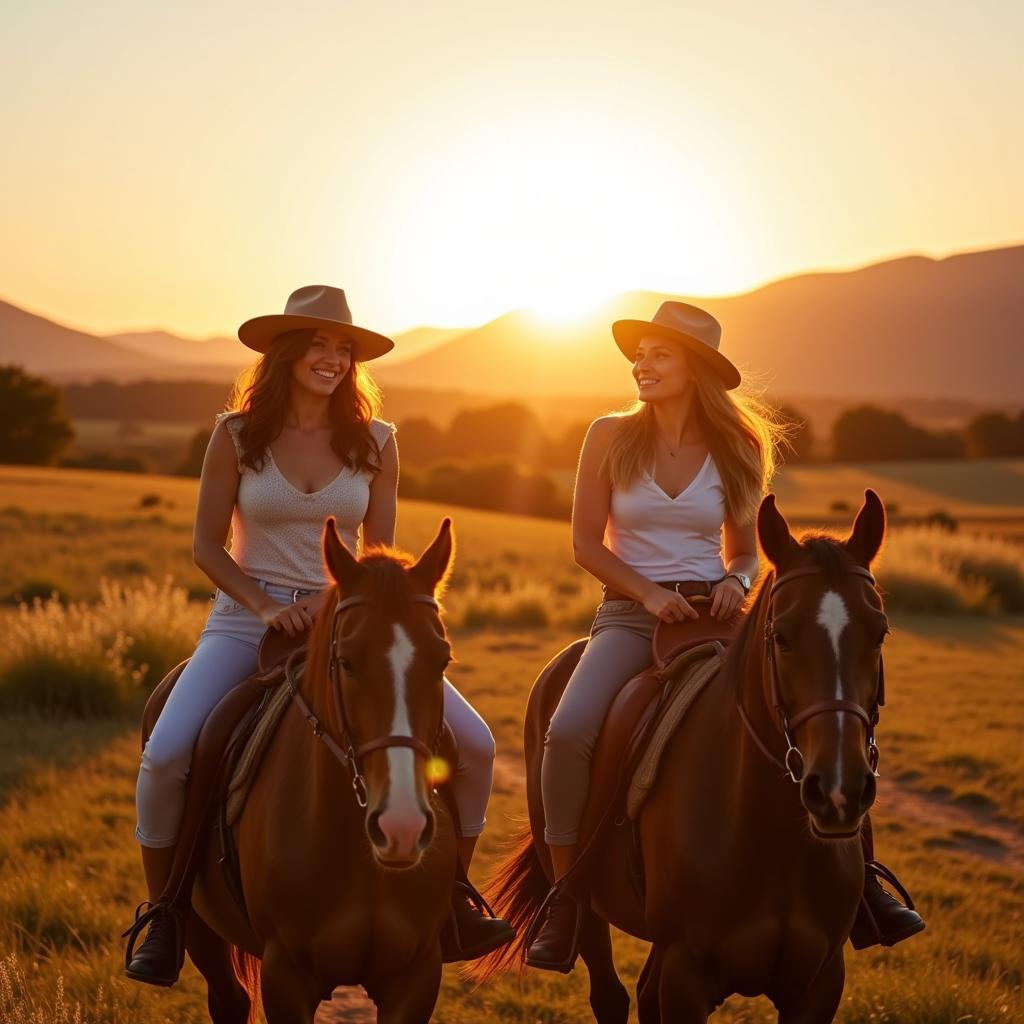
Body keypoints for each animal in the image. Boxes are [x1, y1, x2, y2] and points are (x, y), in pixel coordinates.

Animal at [138, 520, 458, 1024]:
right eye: (346, 661)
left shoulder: (416, 977)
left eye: (442, 660)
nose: (401, 827)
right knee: (227, 998)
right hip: (200, 926)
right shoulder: (285, 976)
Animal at [479, 491, 888, 1019]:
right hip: (584, 901)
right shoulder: (686, 974)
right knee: (608, 993)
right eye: (781, 636)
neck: (771, 839)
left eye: (879, 632)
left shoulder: (820, 983)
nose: (839, 791)